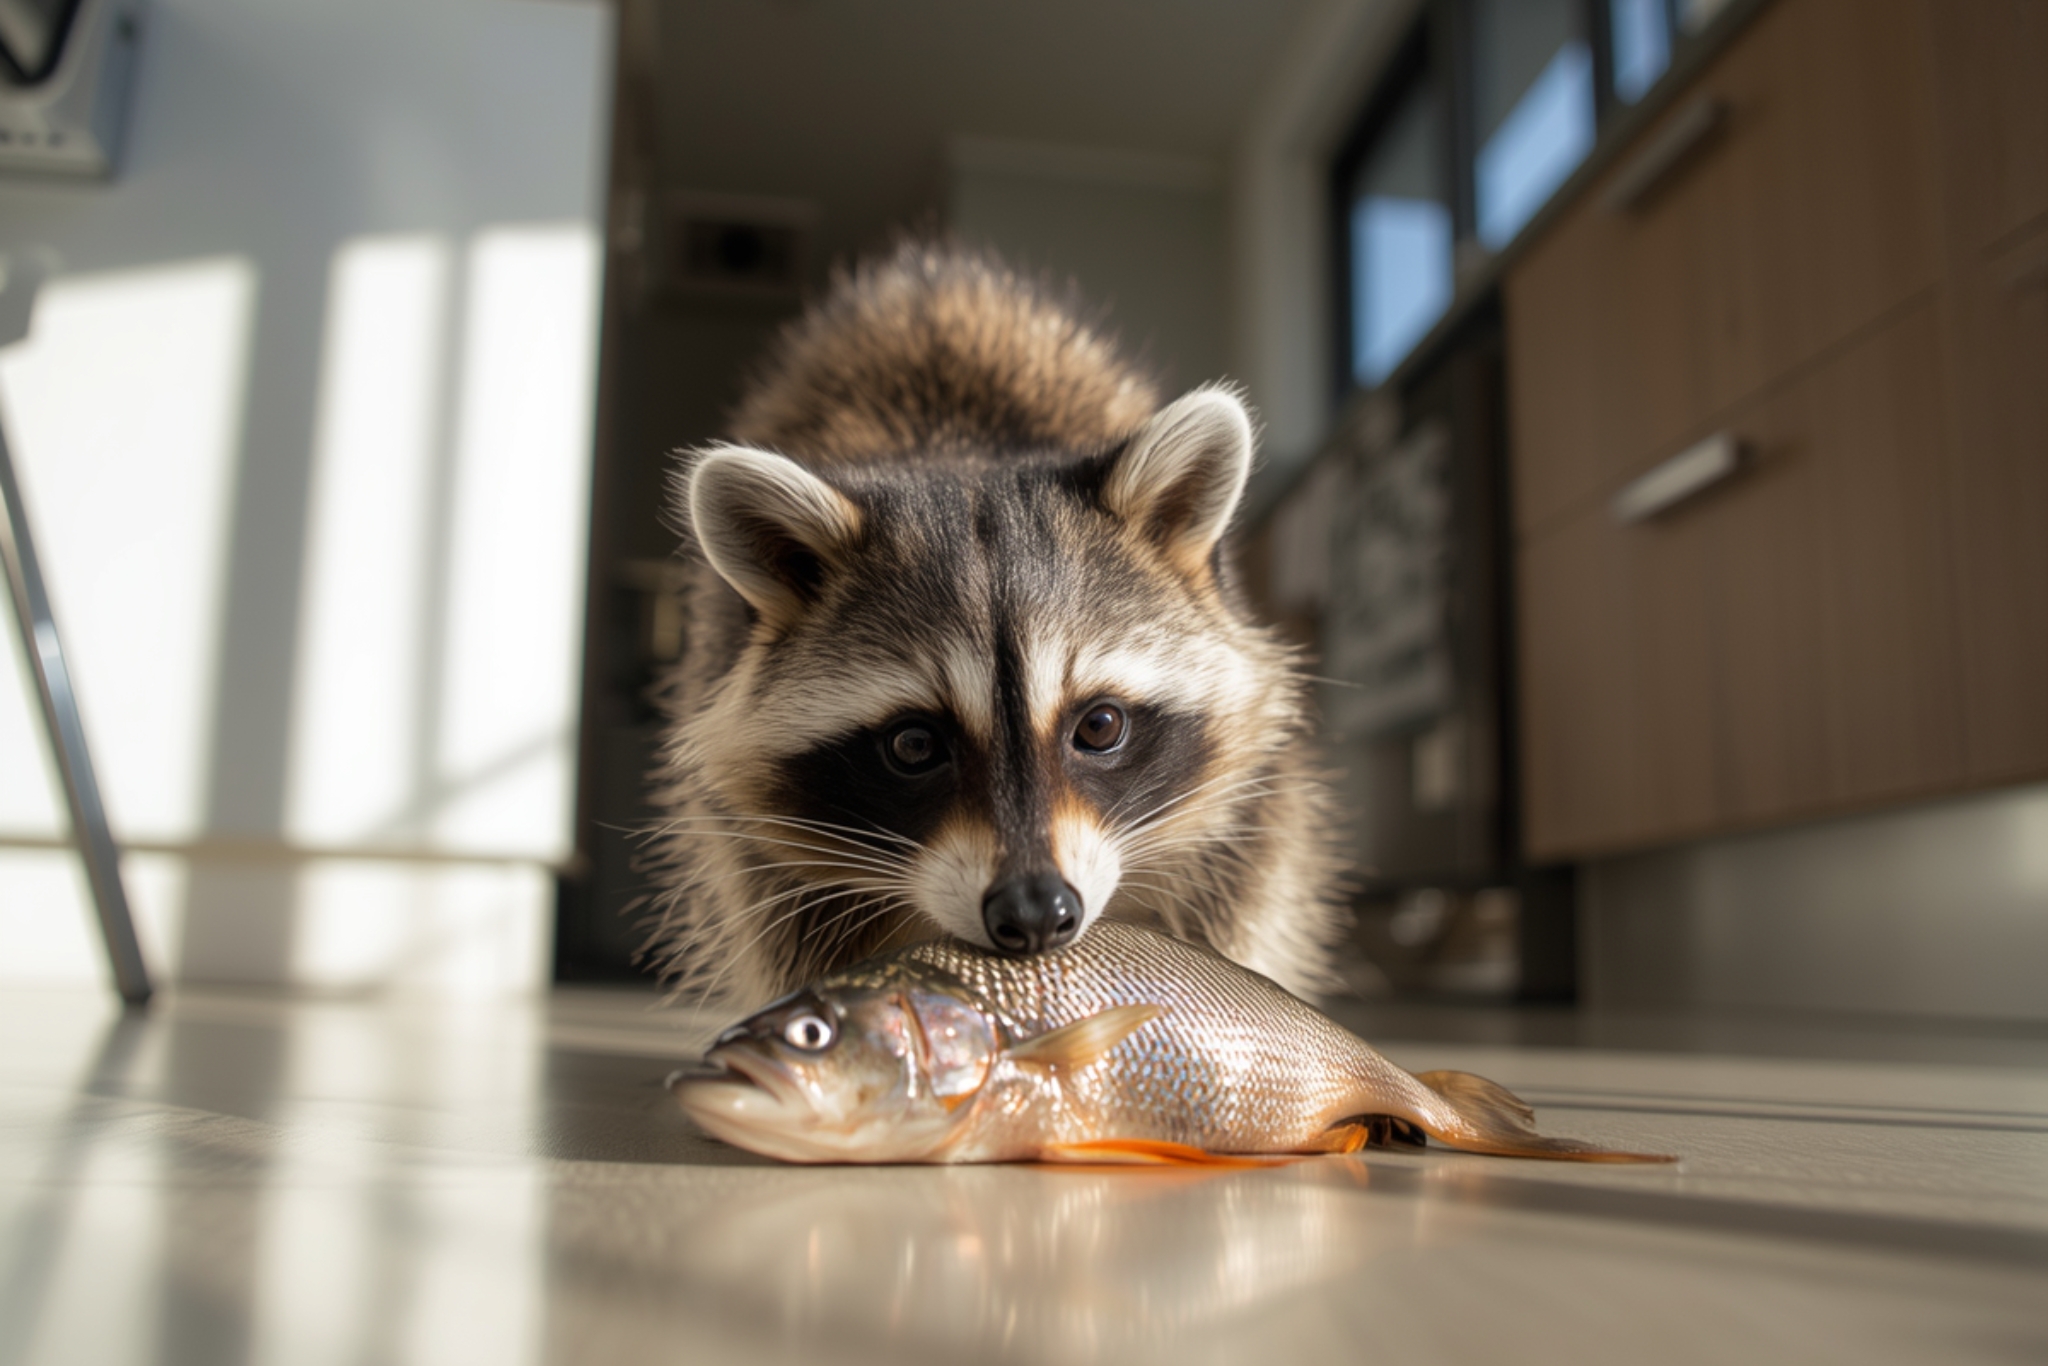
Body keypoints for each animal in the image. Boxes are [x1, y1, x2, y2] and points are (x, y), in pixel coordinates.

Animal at [649, 242, 1345, 1010]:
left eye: (1100, 726)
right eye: (914, 745)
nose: (1036, 912)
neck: (961, 454)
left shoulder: (1241, 818)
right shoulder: (766, 869)